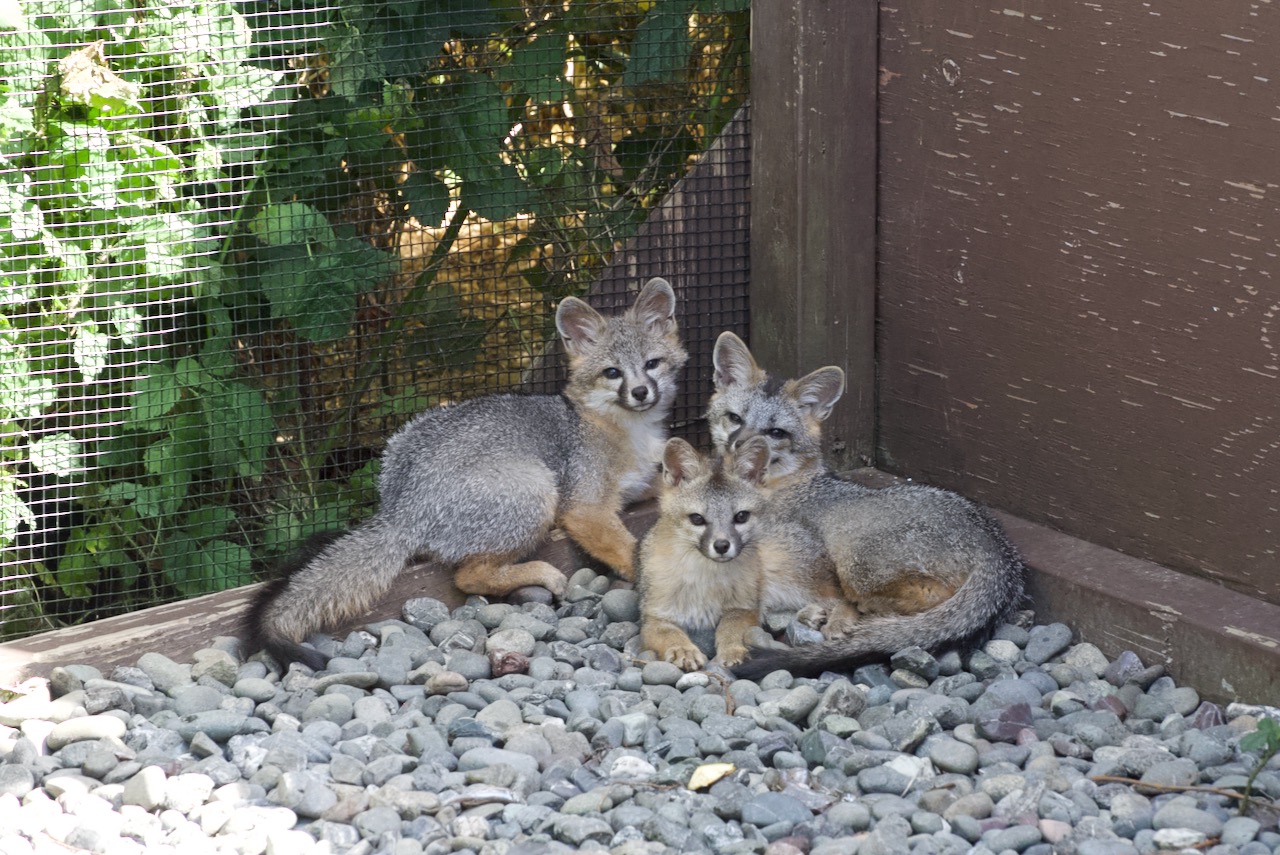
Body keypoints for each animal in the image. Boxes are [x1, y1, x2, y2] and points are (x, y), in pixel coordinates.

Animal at [250, 279, 691, 665]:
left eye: (652, 365)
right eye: (612, 373)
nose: (641, 392)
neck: (628, 433)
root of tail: (400, 507)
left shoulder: (642, 486)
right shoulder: (585, 507)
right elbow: (629, 548)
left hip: (410, 437)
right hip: (537, 488)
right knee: (467, 577)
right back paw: (537, 572)